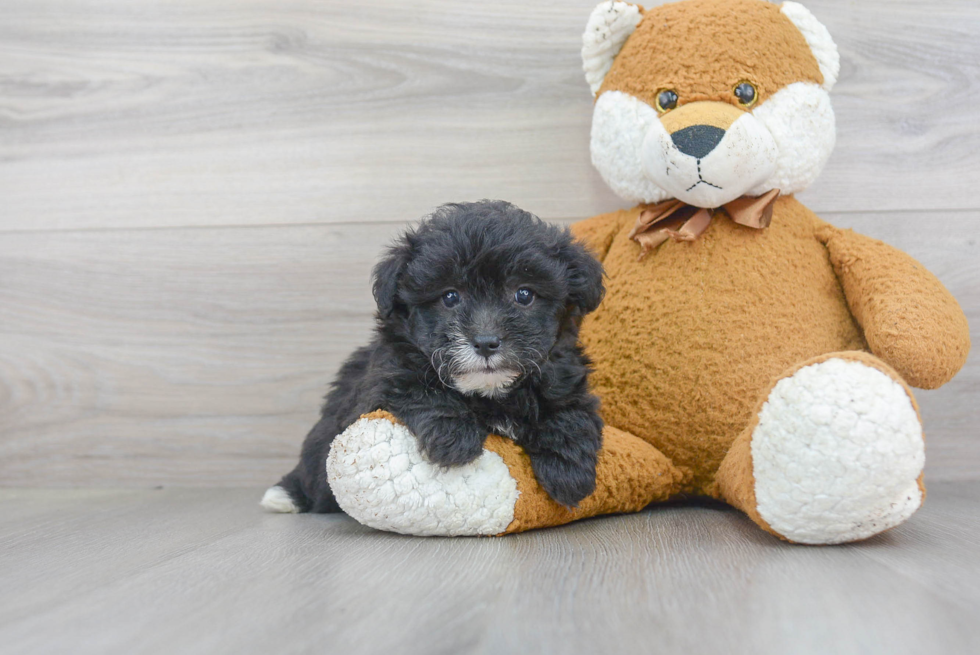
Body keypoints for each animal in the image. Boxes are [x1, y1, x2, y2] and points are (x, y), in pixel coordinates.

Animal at [268, 200, 604, 512]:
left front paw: (569, 470)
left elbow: (568, 410)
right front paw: (454, 438)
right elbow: (420, 390)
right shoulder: (383, 379)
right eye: (450, 296)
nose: (486, 342)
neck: (490, 391)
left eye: (524, 294)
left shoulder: (564, 374)